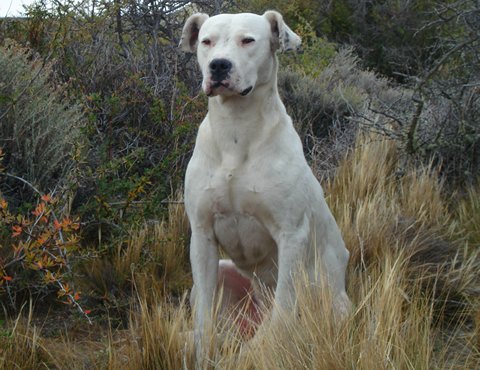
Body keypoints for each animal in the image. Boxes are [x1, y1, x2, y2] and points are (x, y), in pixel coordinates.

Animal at [178, 10, 350, 366]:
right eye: (206, 41)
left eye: (248, 40)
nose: (218, 65)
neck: (236, 131)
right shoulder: (202, 234)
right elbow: (203, 317)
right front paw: (202, 354)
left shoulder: (291, 234)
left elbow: (283, 308)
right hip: (224, 275)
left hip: (336, 304)